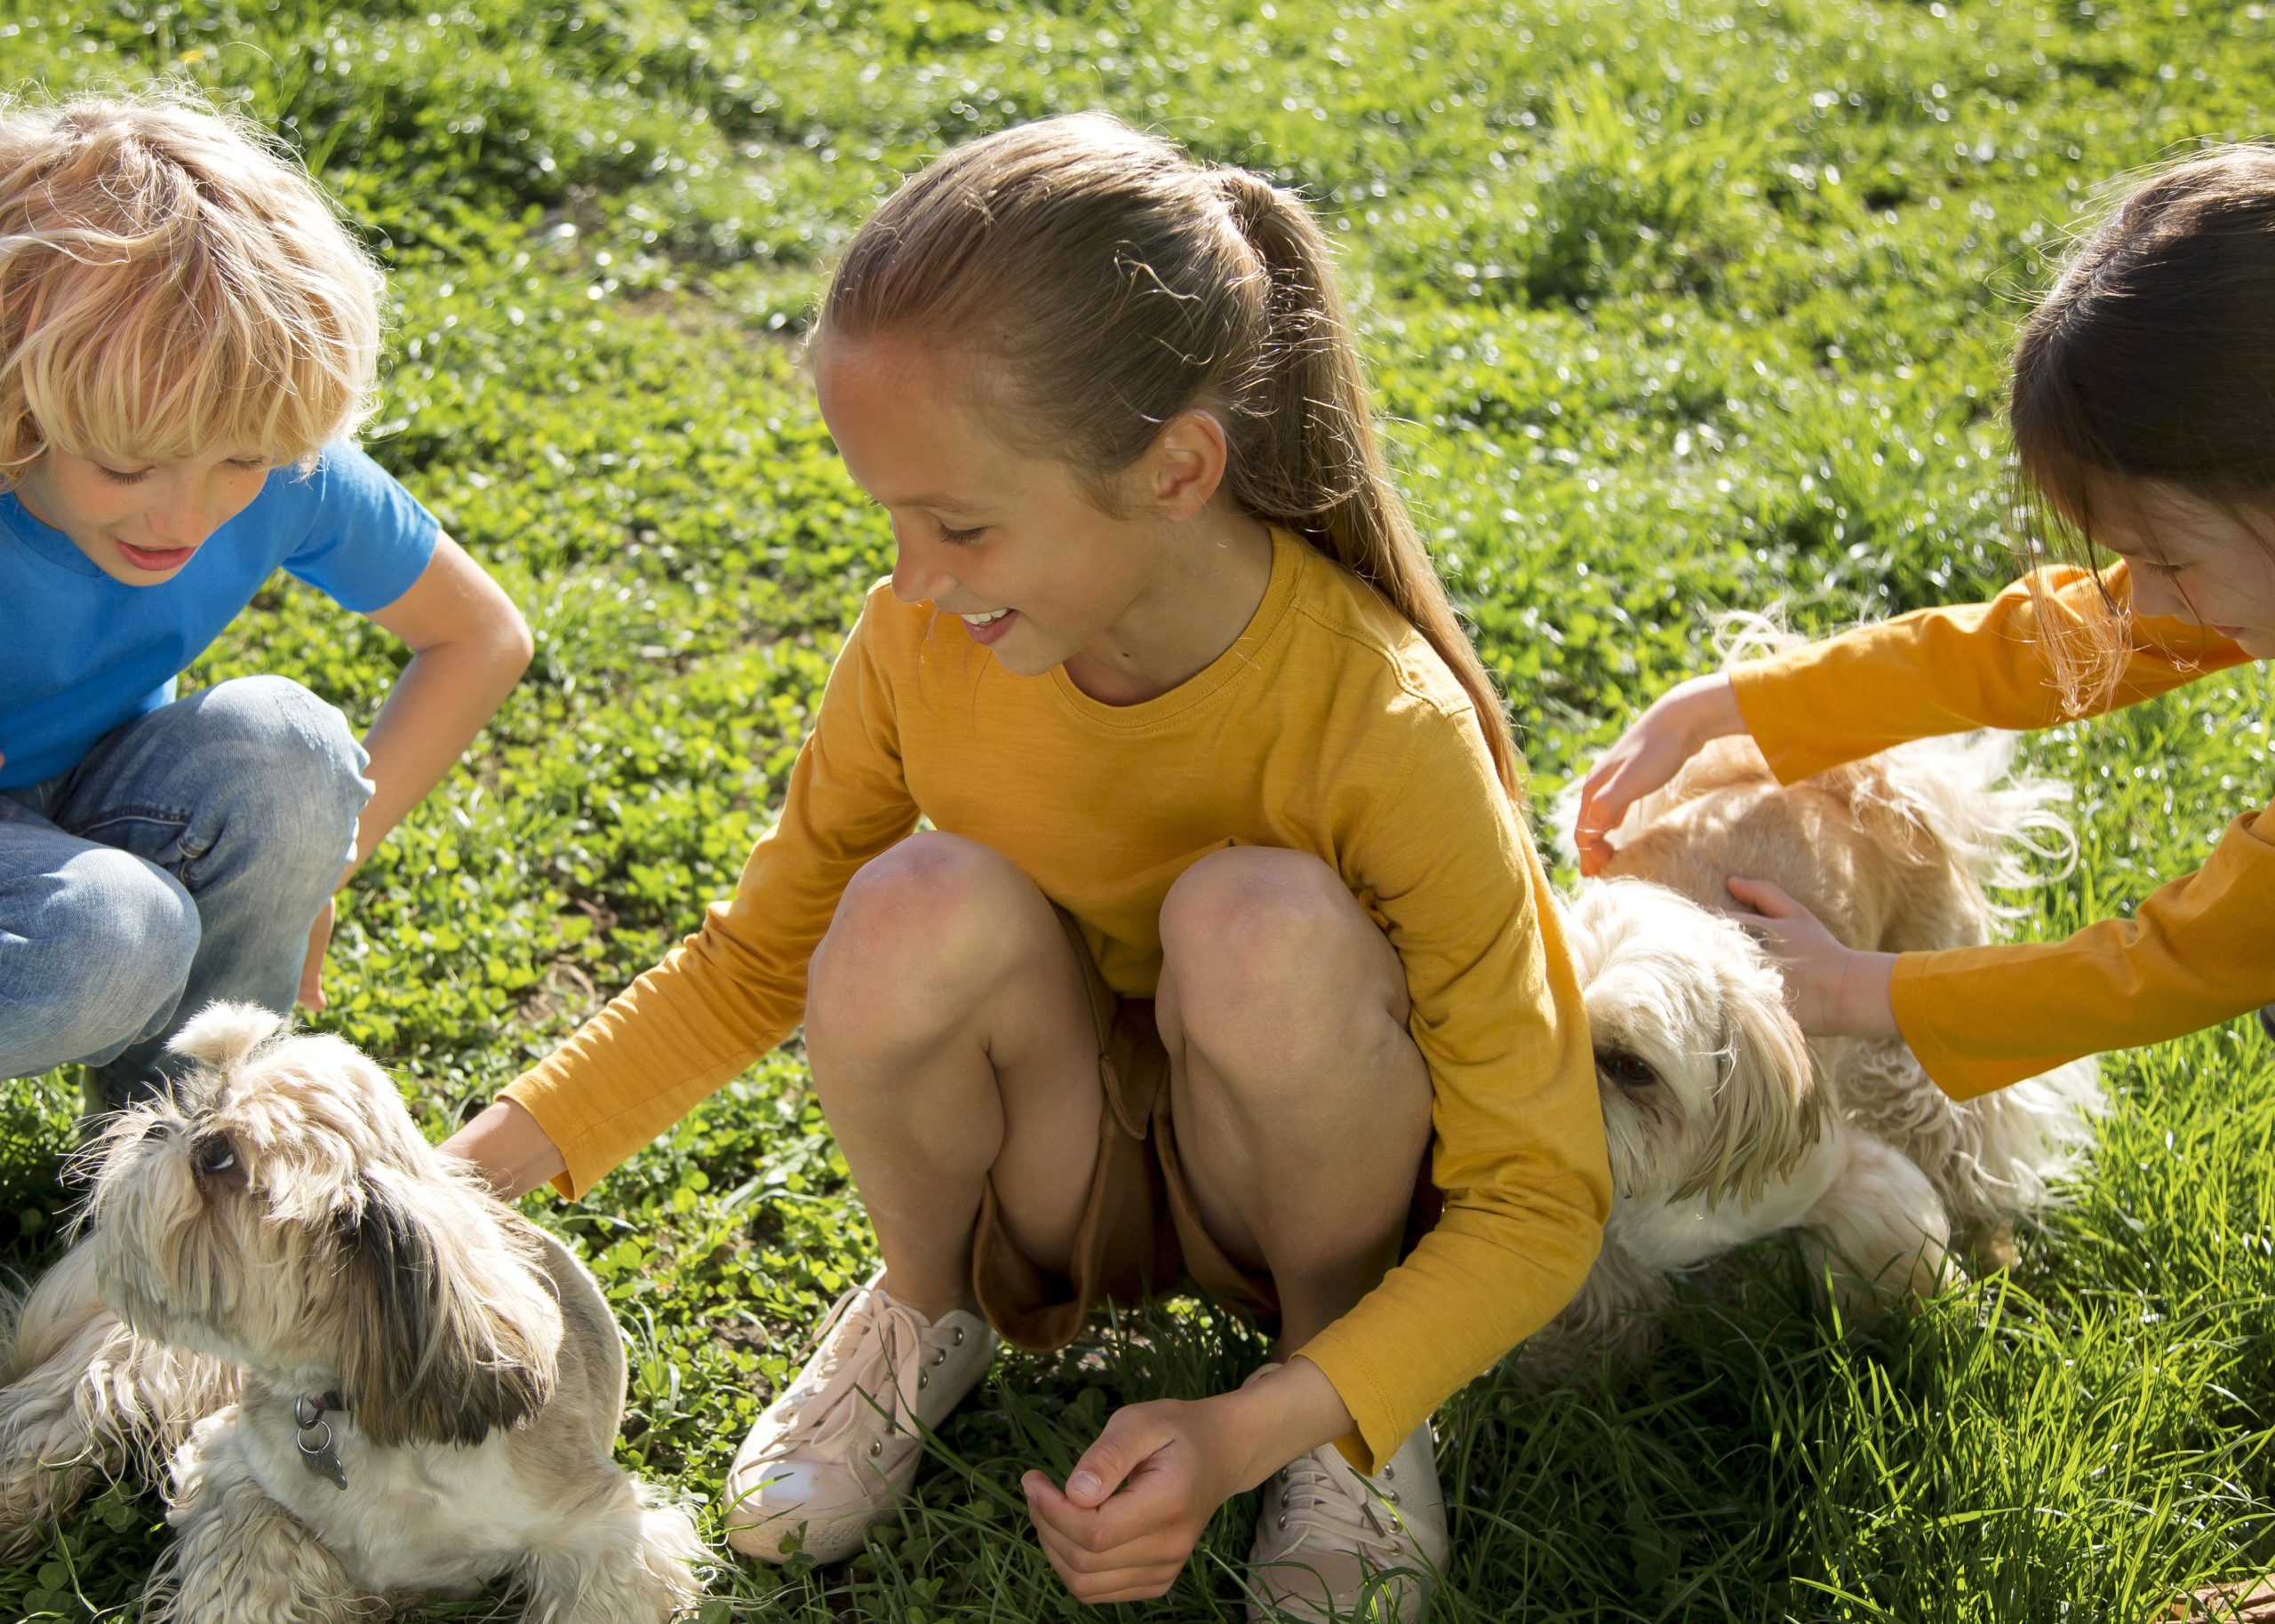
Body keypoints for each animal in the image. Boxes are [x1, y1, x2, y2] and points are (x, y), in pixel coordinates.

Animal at [0, 1005, 705, 1610]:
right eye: (200, 1099)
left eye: (217, 1157)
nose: (159, 1125)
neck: (348, 1405)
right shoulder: (232, 1471)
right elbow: (255, 1572)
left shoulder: (601, 1532)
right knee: (59, 1411)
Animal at [1537, 713, 2102, 1373]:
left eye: (1632, 1066)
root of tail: (1856, 785)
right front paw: (1583, 1370)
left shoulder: (1851, 1181)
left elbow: (1888, 1258)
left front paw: (1905, 1339)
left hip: (1918, 1048)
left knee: (1973, 1142)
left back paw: (1993, 1243)